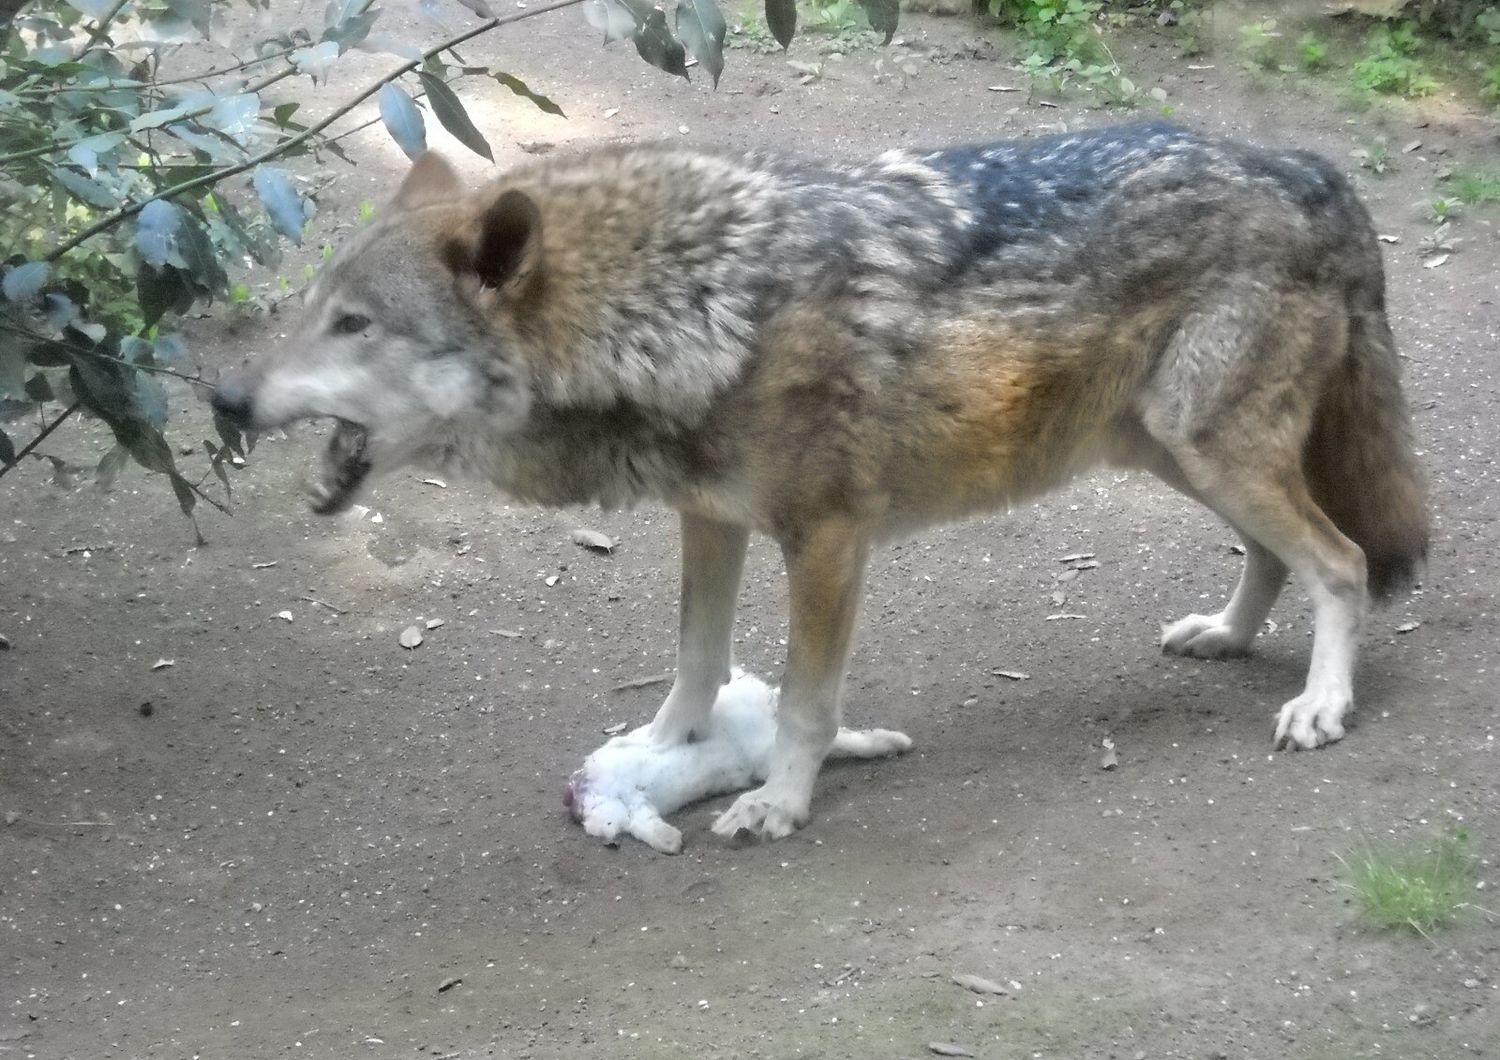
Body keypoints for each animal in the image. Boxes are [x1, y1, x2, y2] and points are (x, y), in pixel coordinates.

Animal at [564, 674, 906, 857]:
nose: (772, 696)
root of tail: (576, 796)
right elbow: (846, 740)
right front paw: (896, 741)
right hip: (615, 799)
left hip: (617, 811)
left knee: (640, 820)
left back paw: (670, 840)